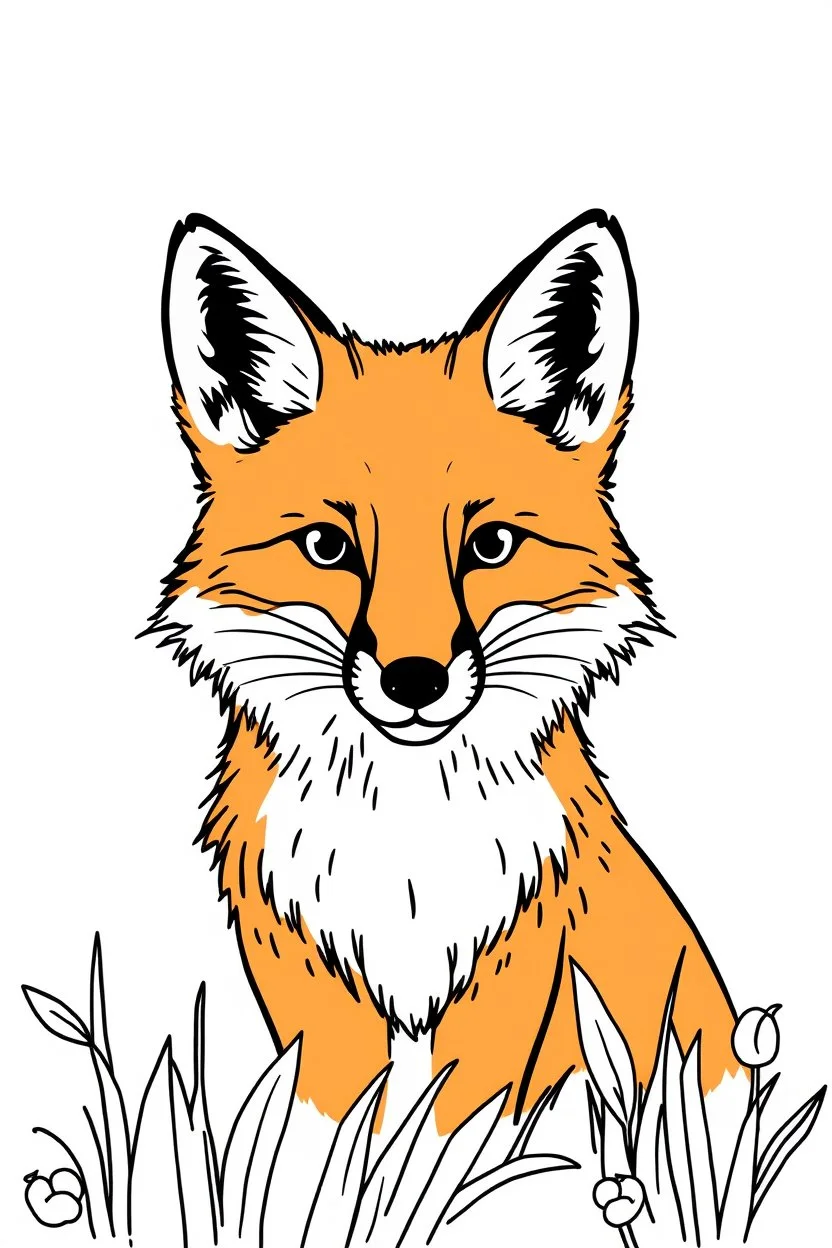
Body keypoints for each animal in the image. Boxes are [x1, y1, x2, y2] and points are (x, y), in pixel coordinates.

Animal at [149, 209, 742, 1135]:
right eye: (328, 547)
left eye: (490, 545)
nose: (415, 680)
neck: (406, 843)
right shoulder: (310, 981)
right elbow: (335, 1137)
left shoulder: (519, 964)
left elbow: (458, 1137)